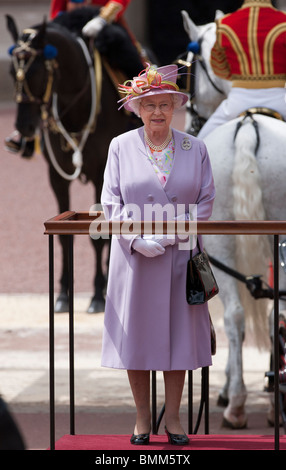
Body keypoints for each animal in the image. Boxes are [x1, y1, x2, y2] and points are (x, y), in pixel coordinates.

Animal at [6, 10, 141, 312]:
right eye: (11, 72)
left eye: (36, 72)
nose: (24, 127)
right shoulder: (57, 177)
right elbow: (63, 232)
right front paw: (63, 294)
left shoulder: (100, 174)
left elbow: (100, 234)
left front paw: (98, 294)